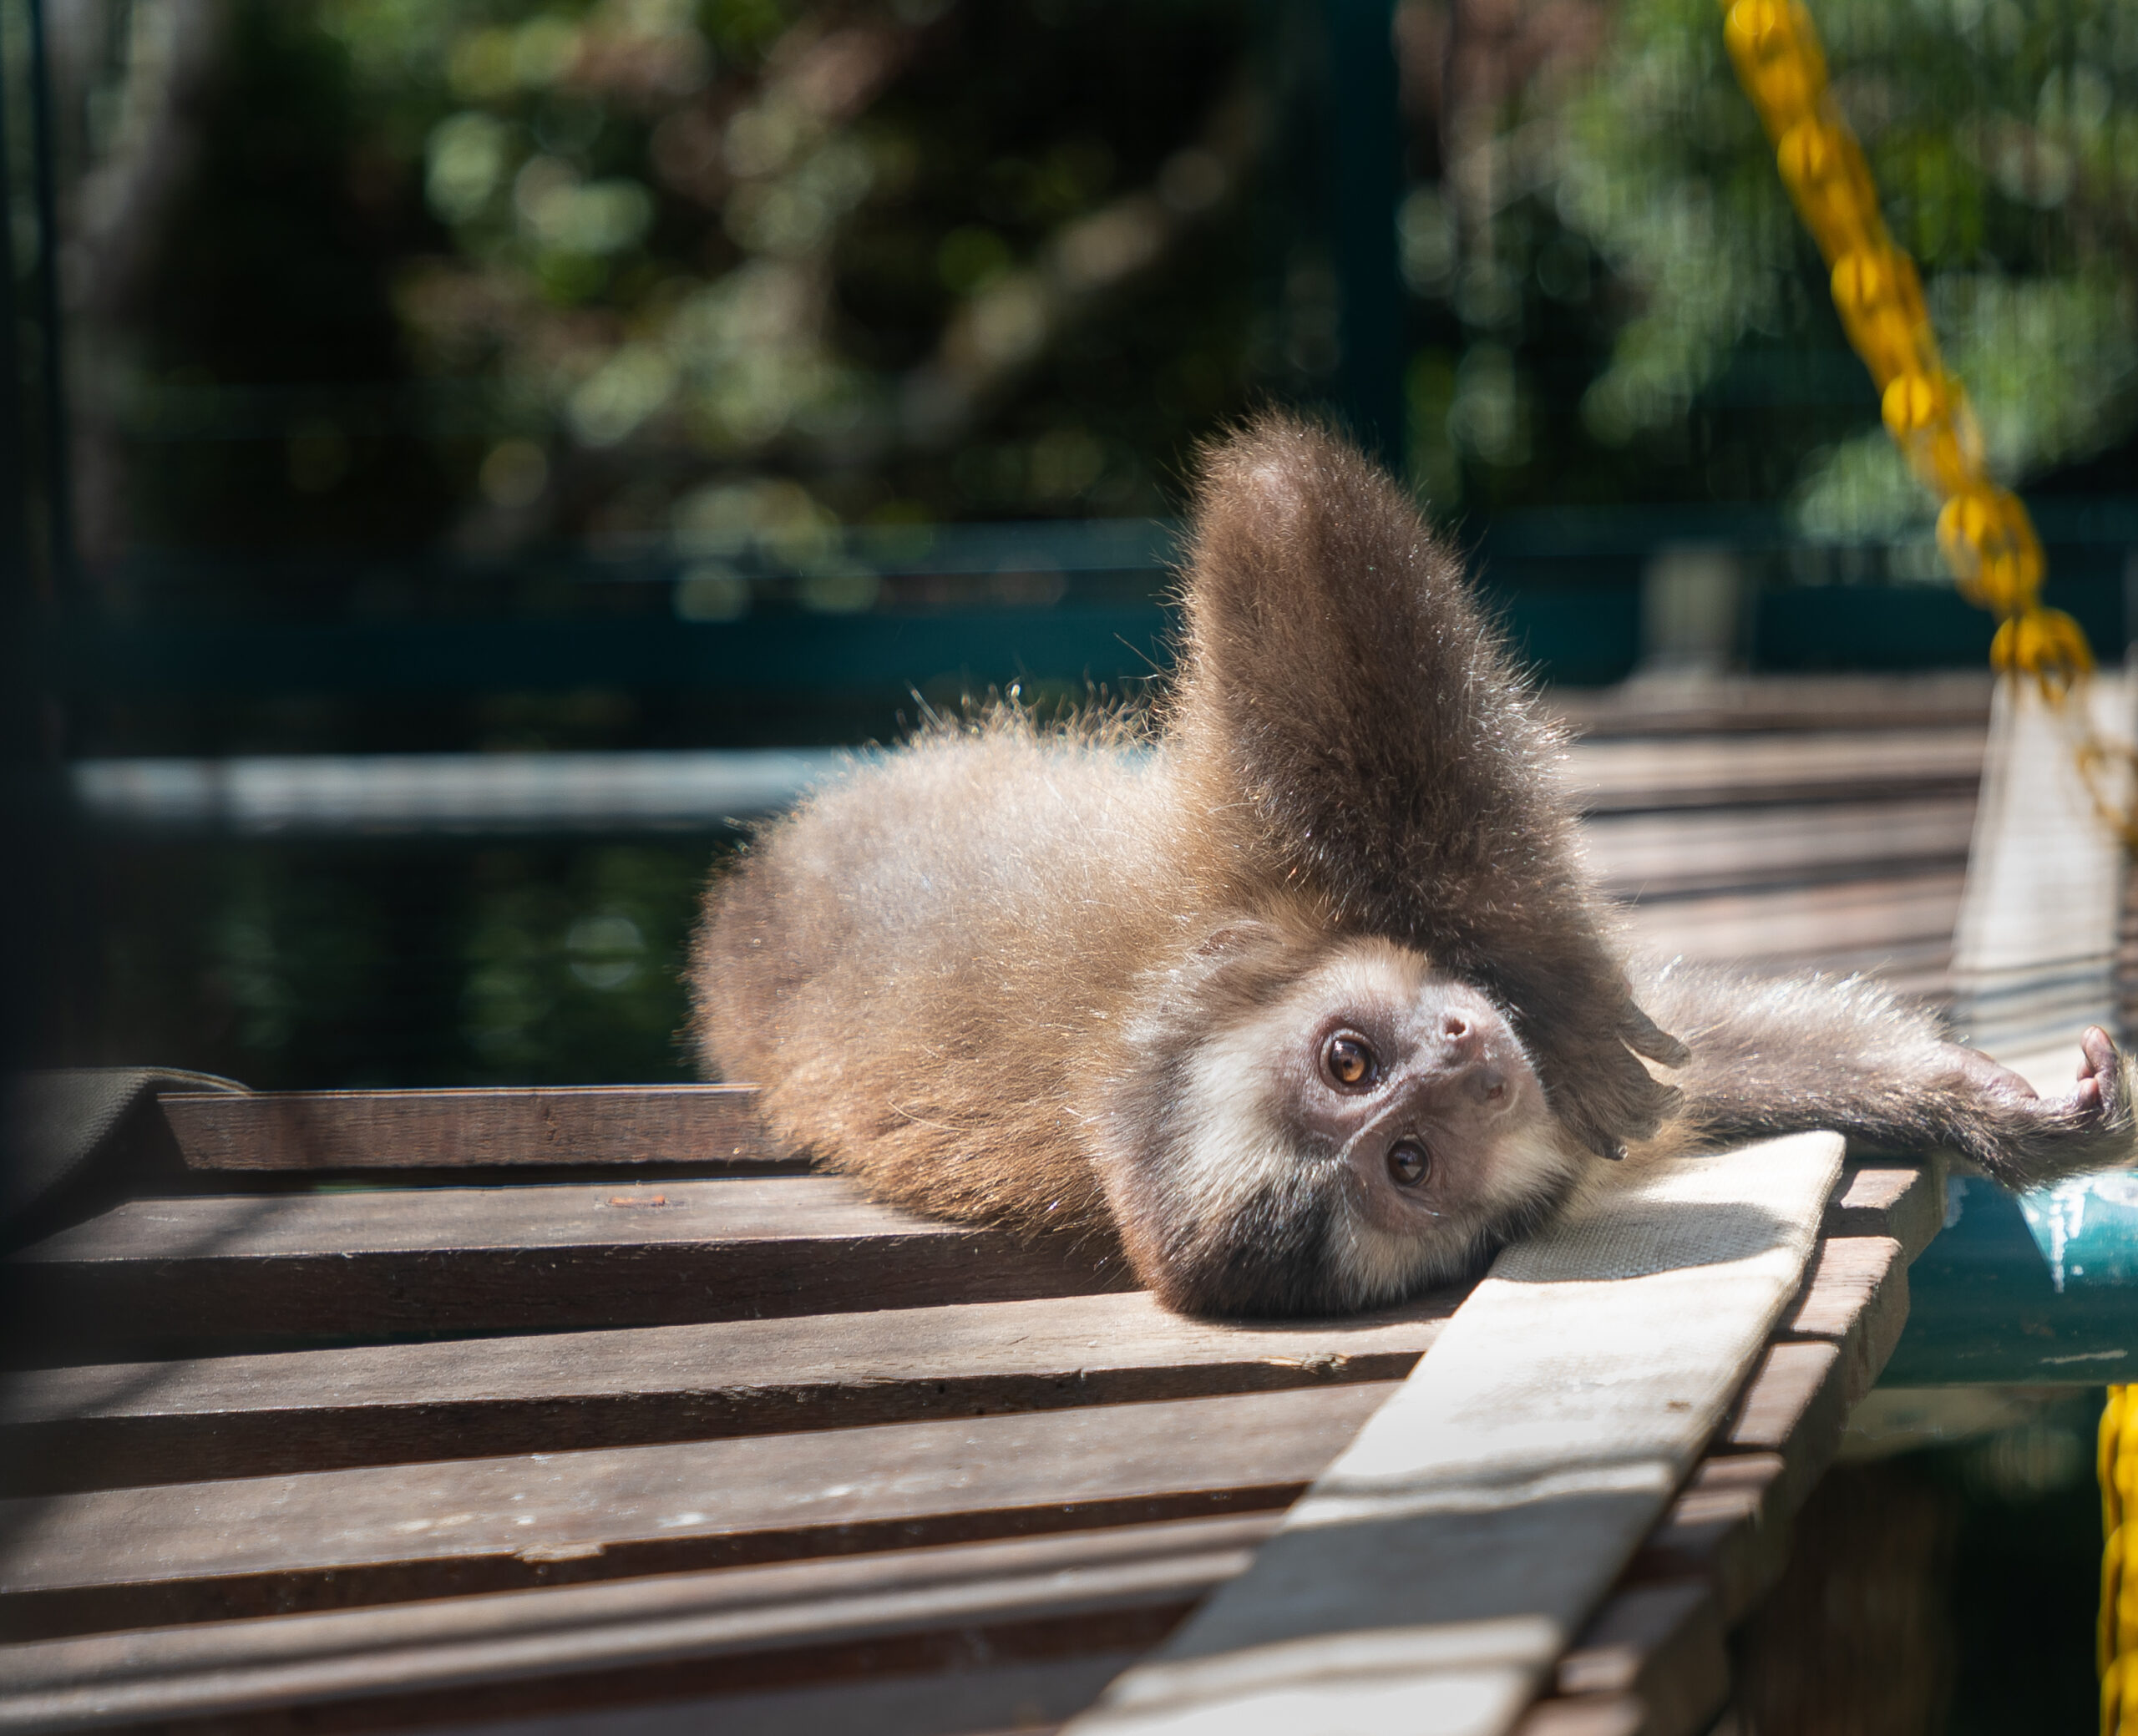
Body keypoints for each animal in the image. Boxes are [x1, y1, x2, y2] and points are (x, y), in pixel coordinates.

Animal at [688, 417, 2138, 1317]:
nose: (1459, 1058)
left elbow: (1283, 507)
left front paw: (1542, 964)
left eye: (1348, 1059)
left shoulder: (1237, 911)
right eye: (1410, 1160)